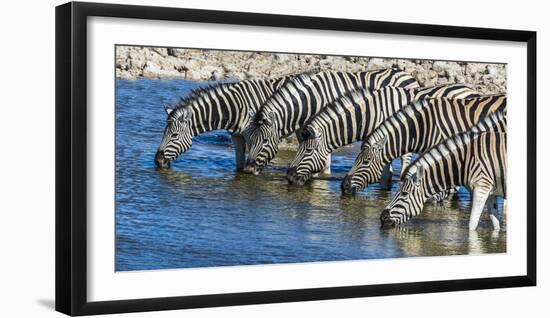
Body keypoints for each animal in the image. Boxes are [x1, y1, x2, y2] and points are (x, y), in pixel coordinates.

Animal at [155, 76, 294, 171]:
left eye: (174, 135)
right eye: (163, 133)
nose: (157, 161)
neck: (235, 107)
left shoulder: (254, 137)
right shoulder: (237, 137)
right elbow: (239, 165)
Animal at [244, 68, 420, 175]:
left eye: (265, 141)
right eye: (250, 140)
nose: (248, 170)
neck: (311, 101)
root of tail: (409, 76)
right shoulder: (306, 130)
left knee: (405, 158)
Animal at [380, 111, 508, 231]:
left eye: (404, 194)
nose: (382, 217)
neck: (465, 161)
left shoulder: (482, 187)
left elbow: (472, 225)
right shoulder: (491, 193)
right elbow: (496, 225)